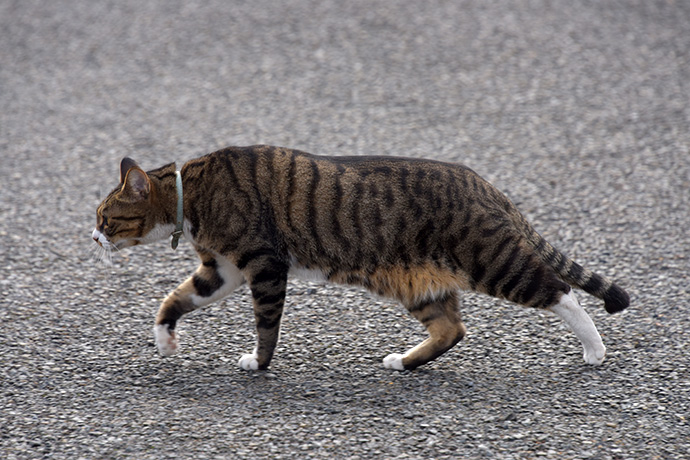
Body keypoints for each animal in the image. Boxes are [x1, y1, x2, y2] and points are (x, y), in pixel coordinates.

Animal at [92, 146, 628, 372]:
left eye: (105, 218)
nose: (92, 237)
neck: (192, 191)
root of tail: (485, 184)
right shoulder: (221, 269)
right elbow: (175, 300)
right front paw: (164, 341)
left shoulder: (263, 264)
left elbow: (267, 325)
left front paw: (259, 364)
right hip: (415, 281)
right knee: (451, 328)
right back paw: (404, 362)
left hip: (490, 260)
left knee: (559, 292)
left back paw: (594, 349)